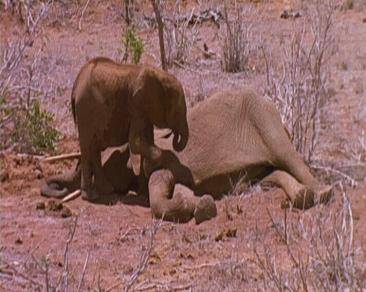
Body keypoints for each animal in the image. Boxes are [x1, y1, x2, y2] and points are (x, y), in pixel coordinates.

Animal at [73, 56, 190, 201]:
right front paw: (149, 167)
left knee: (94, 147)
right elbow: (135, 142)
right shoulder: (136, 108)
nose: (175, 133)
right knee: (87, 147)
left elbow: (146, 140)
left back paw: (107, 190)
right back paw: (91, 196)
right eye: (177, 112)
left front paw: (143, 195)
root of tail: (76, 84)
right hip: (85, 109)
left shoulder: (144, 113)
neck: (160, 76)